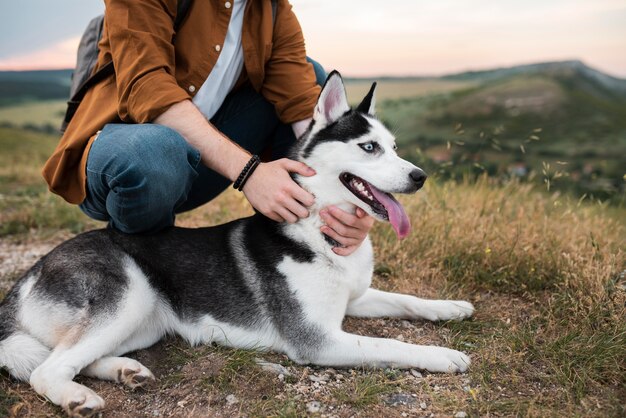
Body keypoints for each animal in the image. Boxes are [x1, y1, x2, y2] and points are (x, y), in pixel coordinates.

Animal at [0, 72, 472, 414]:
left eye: (394, 146)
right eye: (369, 147)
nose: (419, 176)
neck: (316, 229)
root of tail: (32, 271)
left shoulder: (355, 299)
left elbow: (406, 299)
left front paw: (451, 307)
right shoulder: (318, 339)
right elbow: (391, 345)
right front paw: (443, 354)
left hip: (144, 320)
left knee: (72, 356)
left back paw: (124, 372)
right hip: (129, 294)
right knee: (46, 369)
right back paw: (77, 396)